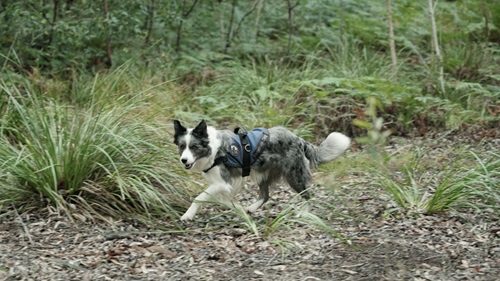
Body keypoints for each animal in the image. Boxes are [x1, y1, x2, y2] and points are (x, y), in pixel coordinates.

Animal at [174, 119, 350, 220]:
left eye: (194, 147)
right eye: (182, 146)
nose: (184, 160)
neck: (213, 149)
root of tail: (298, 139)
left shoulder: (221, 183)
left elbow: (199, 197)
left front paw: (188, 215)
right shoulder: (225, 185)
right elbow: (227, 200)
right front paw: (239, 210)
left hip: (294, 175)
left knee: (308, 195)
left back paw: (304, 213)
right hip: (263, 174)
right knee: (265, 195)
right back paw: (251, 208)